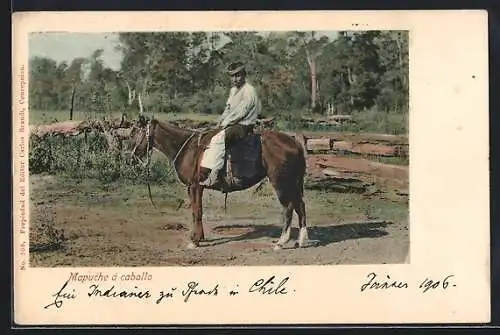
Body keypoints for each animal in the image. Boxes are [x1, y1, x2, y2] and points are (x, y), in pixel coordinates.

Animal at [128, 117, 308, 251]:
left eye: (134, 132)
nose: (130, 158)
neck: (188, 149)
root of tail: (295, 143)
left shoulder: (194, 186)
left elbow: (196, 212)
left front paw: (194, 241)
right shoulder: (197, 188)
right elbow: (197, 211)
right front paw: (199, 237)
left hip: (281, 183)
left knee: (288, 208)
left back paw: (281, 242)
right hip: (292, 183)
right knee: (300, 206)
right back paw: (301, 240)